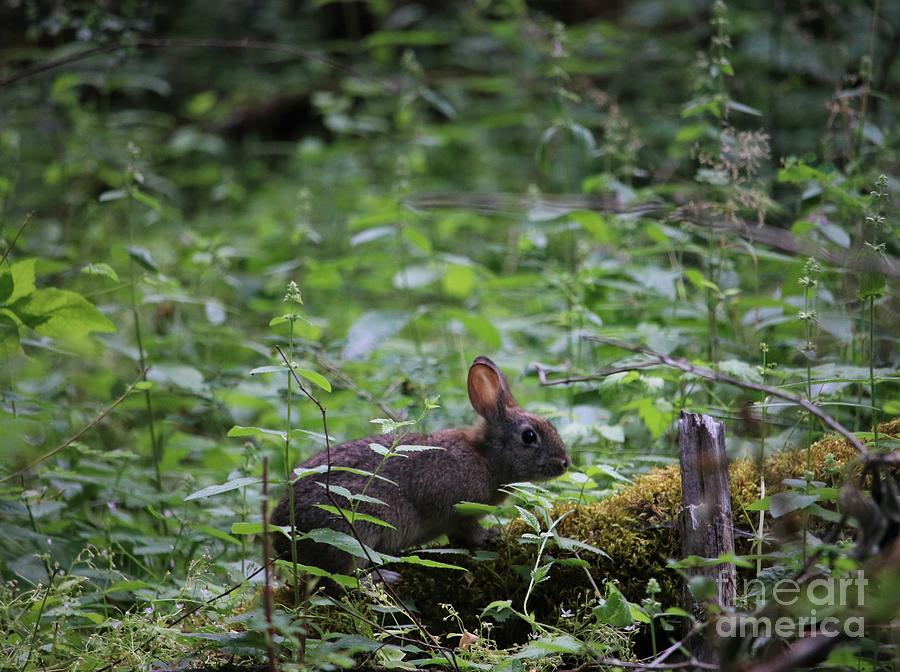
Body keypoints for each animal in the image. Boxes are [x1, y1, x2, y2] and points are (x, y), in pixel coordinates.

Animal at [270, 354, 572, 576]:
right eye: (529, 436)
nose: (565, 463)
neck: (486, 458)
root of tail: (283, 539)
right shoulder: (458, 508)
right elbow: (470, 530)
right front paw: (490, 535)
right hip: (349, 534)